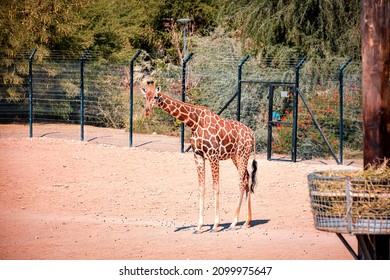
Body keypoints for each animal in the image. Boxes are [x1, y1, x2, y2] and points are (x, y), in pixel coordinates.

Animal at [142, 81, 258, 234]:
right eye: (145, 97)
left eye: (155, 96)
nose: (147, 111)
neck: (194, 122)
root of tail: (252, 134)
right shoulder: (198, 155)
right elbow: (201, 188)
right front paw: (199, 226)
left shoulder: (213, 154)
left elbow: (216, 187)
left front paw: (215, 225)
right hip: (236, 156)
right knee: (247, 178)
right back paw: (247, 221)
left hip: (242, 154)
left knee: (242, 181)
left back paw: (234, 223)